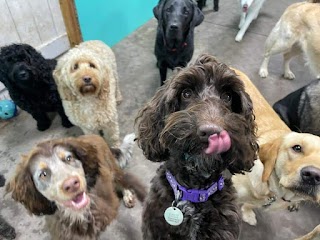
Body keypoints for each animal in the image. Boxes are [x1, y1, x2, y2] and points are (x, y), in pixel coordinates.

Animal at [5, 135, 146, 240]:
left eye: (69, 158)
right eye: (43, 174)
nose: (72, 184)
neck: (78, 214)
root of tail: (94, 135)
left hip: (112, 168)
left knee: (122, 181)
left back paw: (127, 195)